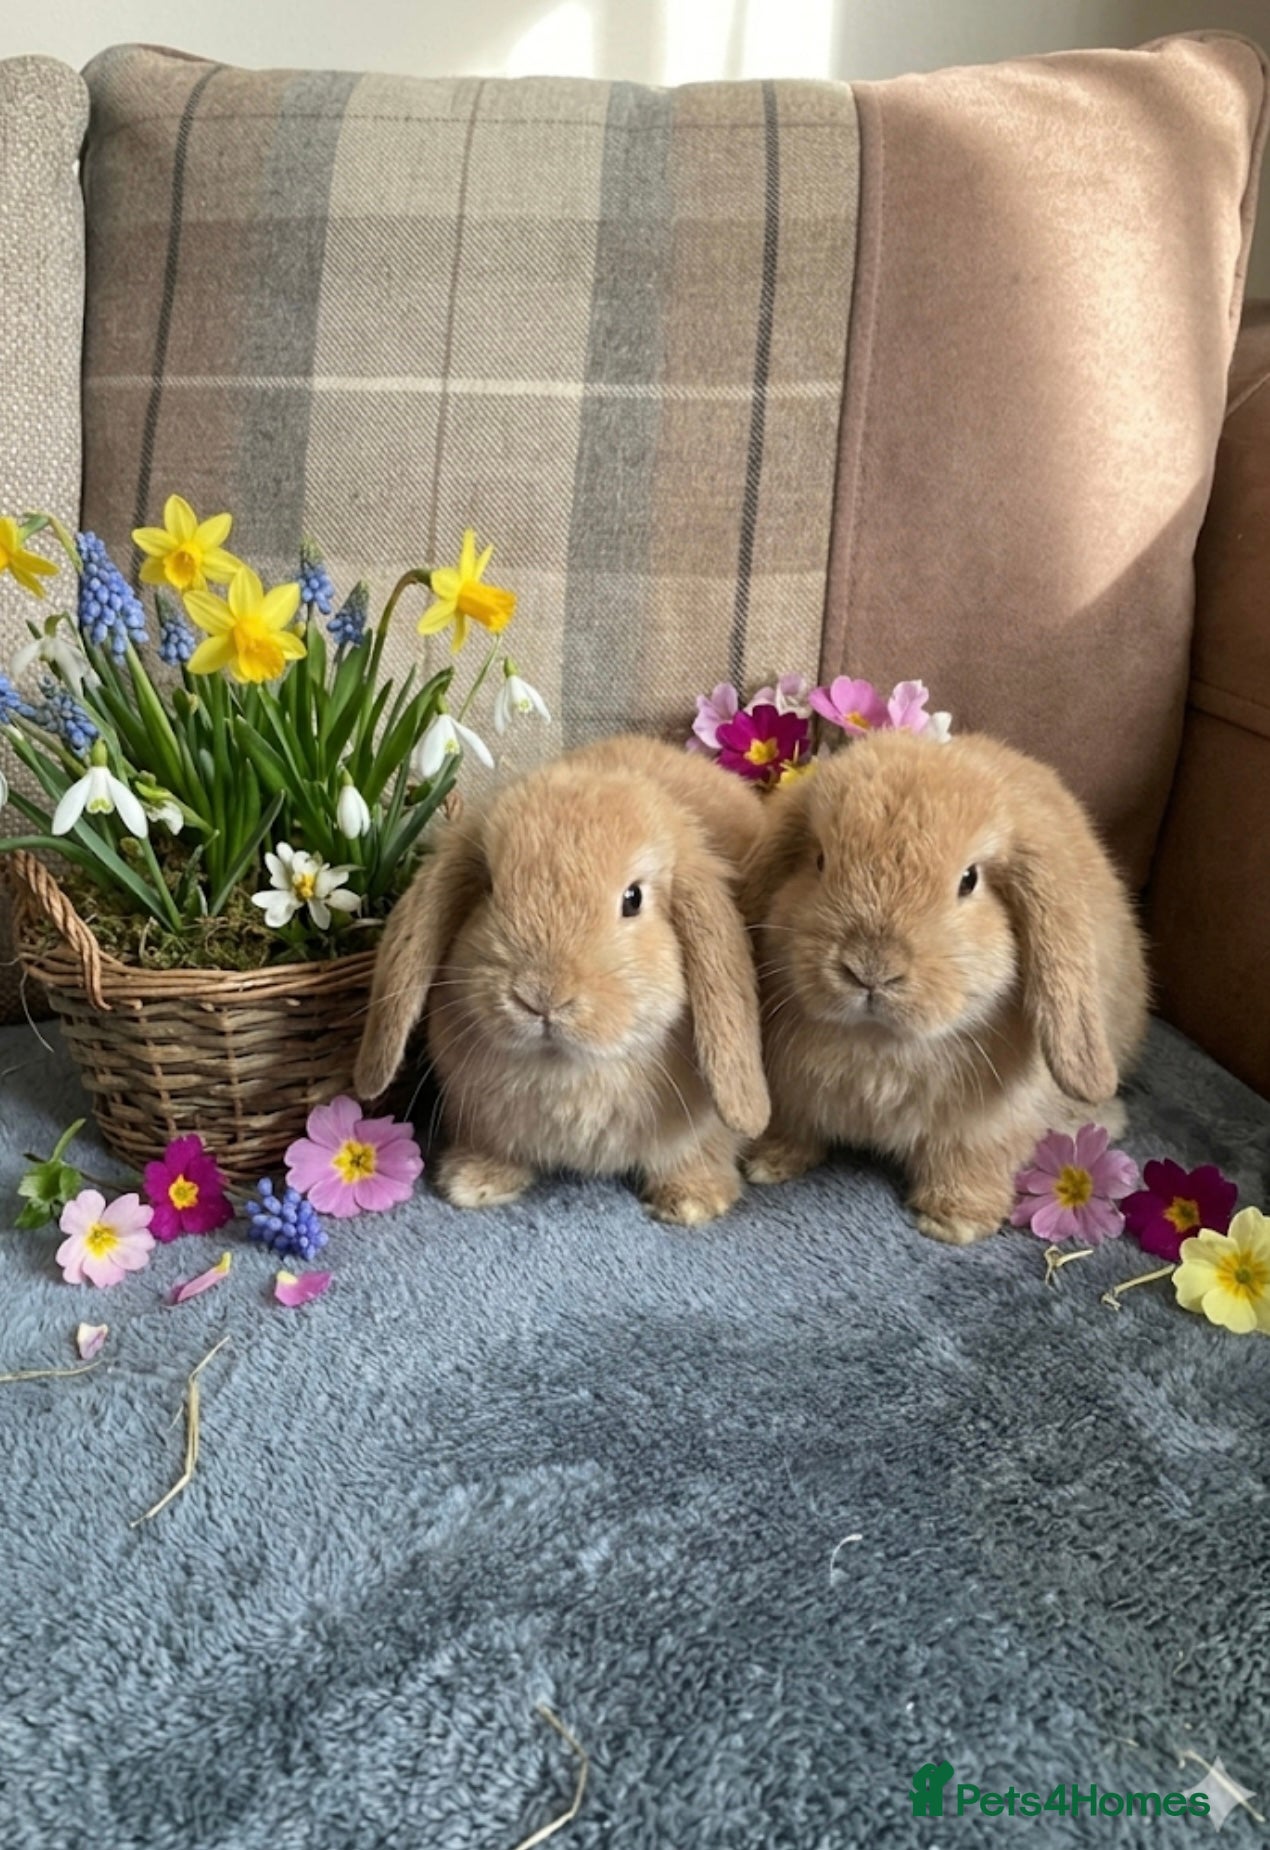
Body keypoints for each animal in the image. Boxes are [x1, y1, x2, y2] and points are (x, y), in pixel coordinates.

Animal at [353, 734, 770, 1225]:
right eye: (489, 888)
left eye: (633, 898)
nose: (541, 997)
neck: (566, 1069)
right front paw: (473, 1182)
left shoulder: (701, 1129)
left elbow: (699, 1152)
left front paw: (691, 1202)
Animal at [741, 730, 1149, 1244]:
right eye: (819, 860)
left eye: (969, 880)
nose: (870, 969)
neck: (879, 1044)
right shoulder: (793, 1099)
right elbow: (794, 1129)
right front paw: (767, 1164)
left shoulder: (984, 1129)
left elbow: (969, 1163)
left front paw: (954, 1223)